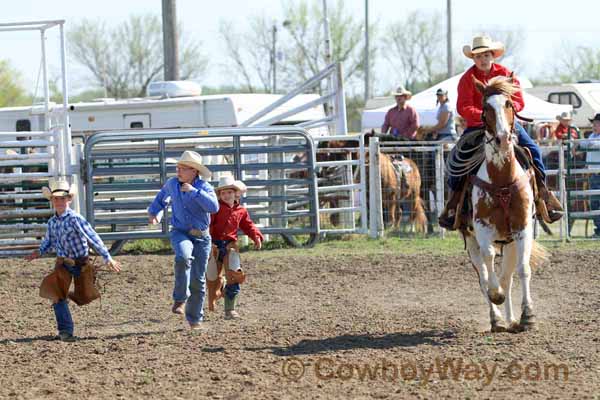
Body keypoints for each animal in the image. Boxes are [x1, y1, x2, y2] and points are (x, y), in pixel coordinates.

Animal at [464, 76, 548, 332]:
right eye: (485, 109)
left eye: (509, 103)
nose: (502, 139)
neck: (501, 180)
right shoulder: (481, 229)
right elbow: (489, 263)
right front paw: (496, 296)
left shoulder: (523, 229)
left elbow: (523, 269)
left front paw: (527, 316)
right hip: (470, 240)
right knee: (483, 275)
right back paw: (497, 319)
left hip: (509, 242)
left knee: (507, 277)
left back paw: (511, 319)